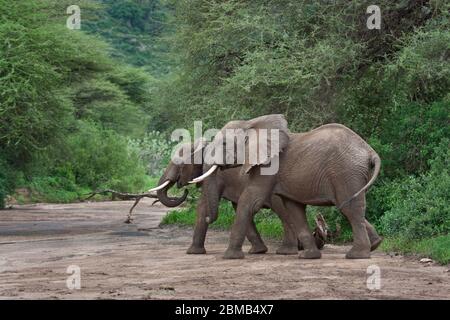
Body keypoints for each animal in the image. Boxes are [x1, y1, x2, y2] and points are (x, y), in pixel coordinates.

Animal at [190, 115, 384, 260]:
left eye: (223, 144)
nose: (208, 218)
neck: (251, 124)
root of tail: (370, 151)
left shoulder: (268, 166)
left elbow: (251, 201)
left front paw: (229, 257)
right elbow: (294, 209)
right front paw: (308, 256)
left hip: (346, 173)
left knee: (349, 208)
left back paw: (356, 255)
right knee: (350, 207)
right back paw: (374, 245)